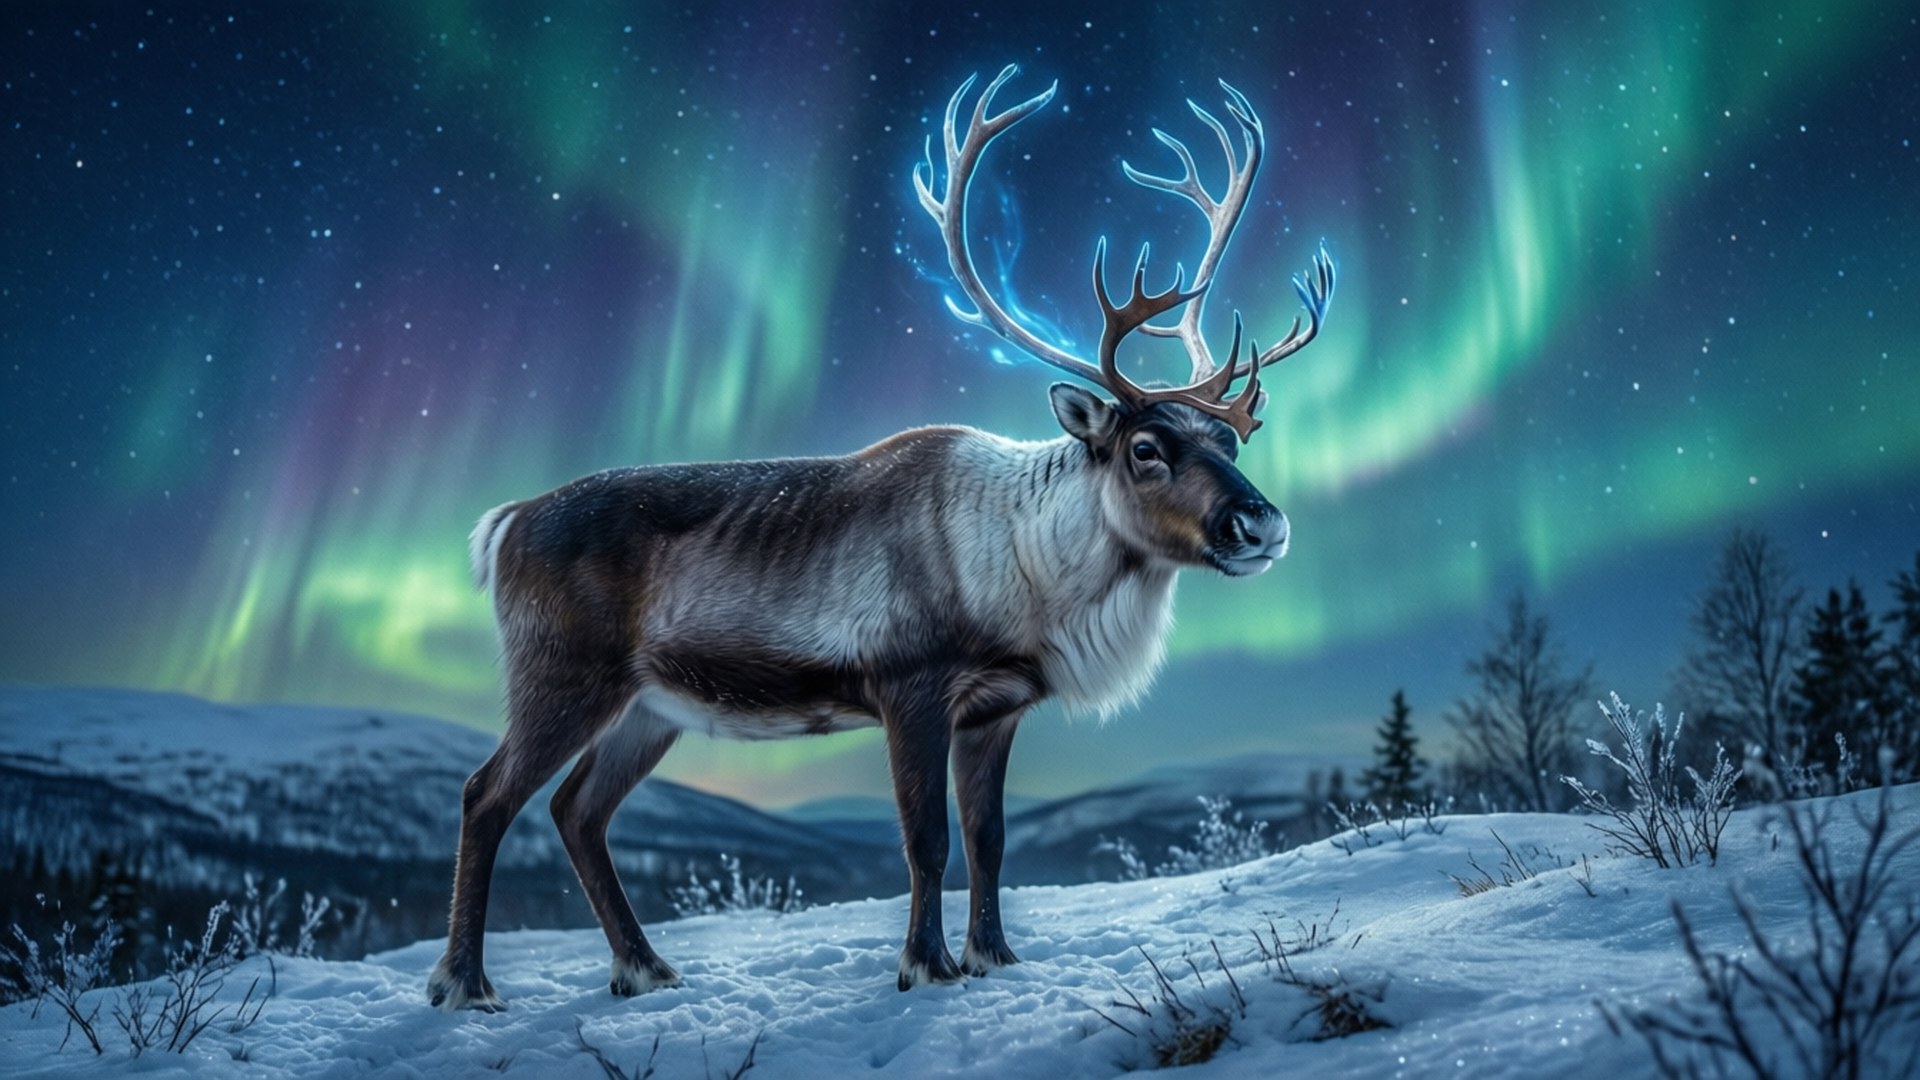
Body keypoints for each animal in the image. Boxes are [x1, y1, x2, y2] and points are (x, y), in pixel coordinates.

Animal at [428, 65, 1334, 1010]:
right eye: (1146, 447)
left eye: (1231, 440)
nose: (1262, 522)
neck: (1030, 579)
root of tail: (505, 522)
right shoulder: (910, 685)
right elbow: (926, 839)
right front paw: (924, 966)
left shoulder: (997, 708)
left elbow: (988, 839)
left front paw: (995, 957)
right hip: (561, 673)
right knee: (486, 794)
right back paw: (465, 983)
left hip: (649, 707)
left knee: (578, 810)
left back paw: (644, 968)